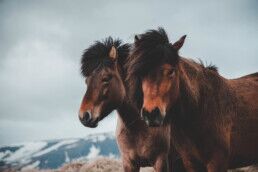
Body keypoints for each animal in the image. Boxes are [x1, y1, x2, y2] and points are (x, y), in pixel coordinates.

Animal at [78, 37, 185, 172]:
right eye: (87, 81)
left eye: (106, 78)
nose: (84, 116)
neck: (139, 128)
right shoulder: (129, 163)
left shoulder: (161, 162)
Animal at [126, 27, 258, 171]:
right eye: (141, 73)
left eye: (171, 71)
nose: (151, 114)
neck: (201, 108)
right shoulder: (190, 162)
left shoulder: (217, 162)